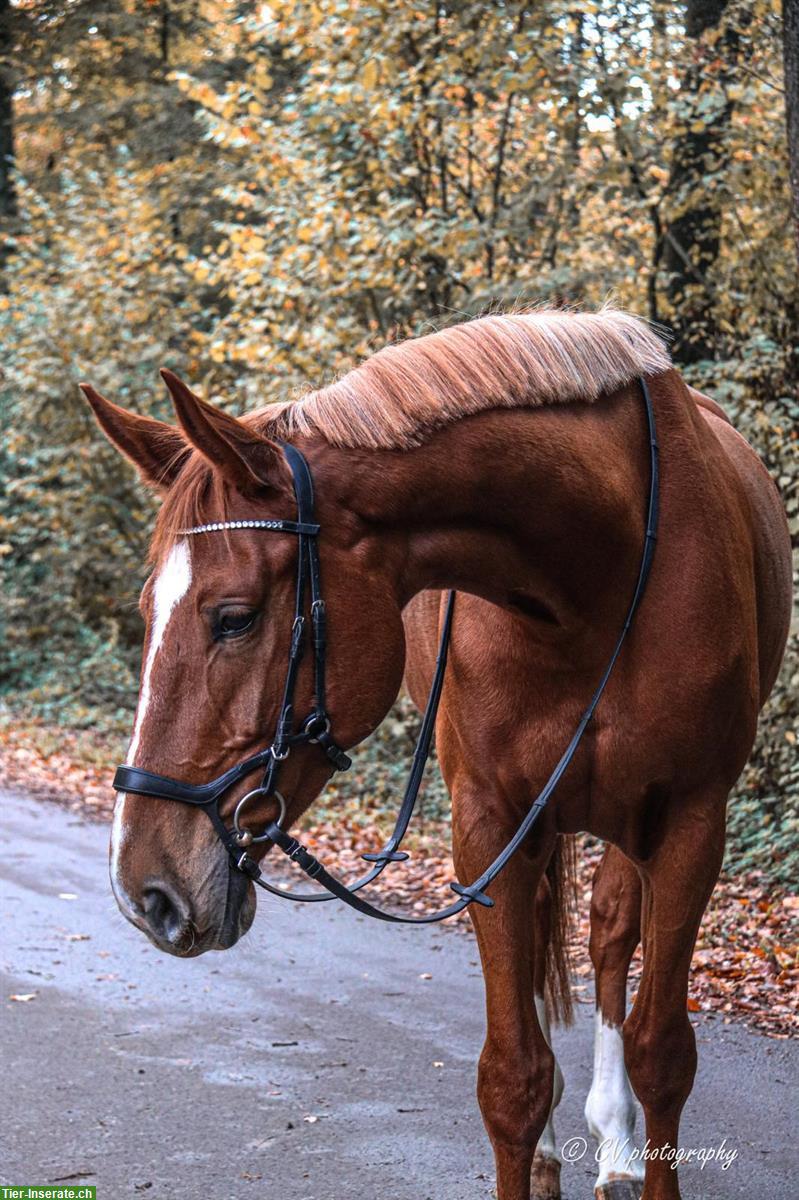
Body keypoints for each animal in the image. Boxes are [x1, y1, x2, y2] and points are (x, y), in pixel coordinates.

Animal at [82, 312, 791, 1200]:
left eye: (234, 617)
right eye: (147, 610)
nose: (142, 890)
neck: (594, 574)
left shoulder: (690, 820)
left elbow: (662, 1053)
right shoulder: (488, 822)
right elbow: (512, 1078)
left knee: (605, 935)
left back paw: (615, 1144)